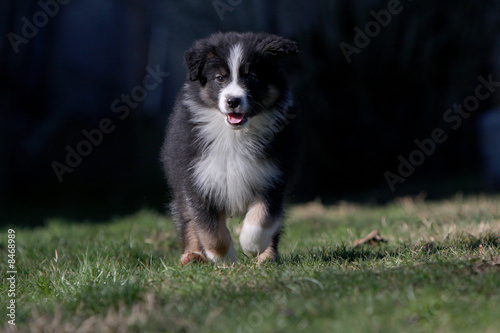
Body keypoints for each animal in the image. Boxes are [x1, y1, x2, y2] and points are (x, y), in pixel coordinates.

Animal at [162, 31, 298, 264]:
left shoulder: (272, 176)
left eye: (251, 78)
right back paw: (193, 256)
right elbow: (209, 229)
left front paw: (252, 246)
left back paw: (267, 257)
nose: (233, 101)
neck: (233, 135)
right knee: (188, 220)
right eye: (220, 78)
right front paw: (224, 257)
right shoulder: (197, 179)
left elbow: (263, 217)